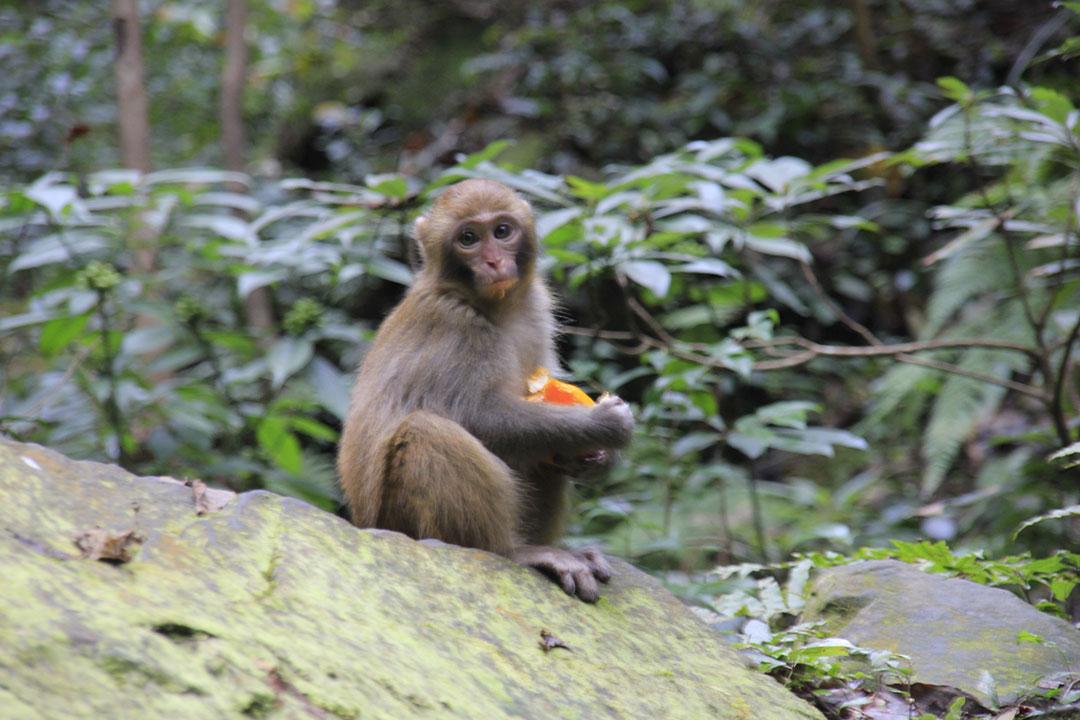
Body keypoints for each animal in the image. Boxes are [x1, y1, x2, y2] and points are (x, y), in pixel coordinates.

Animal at [339, 179, 630, 604]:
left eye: (502, 231)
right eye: (468, 239)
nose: (493, 262)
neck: (492, 307)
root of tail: (364, 524)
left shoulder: (536, 307)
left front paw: (597, 458)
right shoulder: (455, 327)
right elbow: (479, 418)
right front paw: (602, 425)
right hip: (402, 523)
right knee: (428, 432)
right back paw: (515, 552)